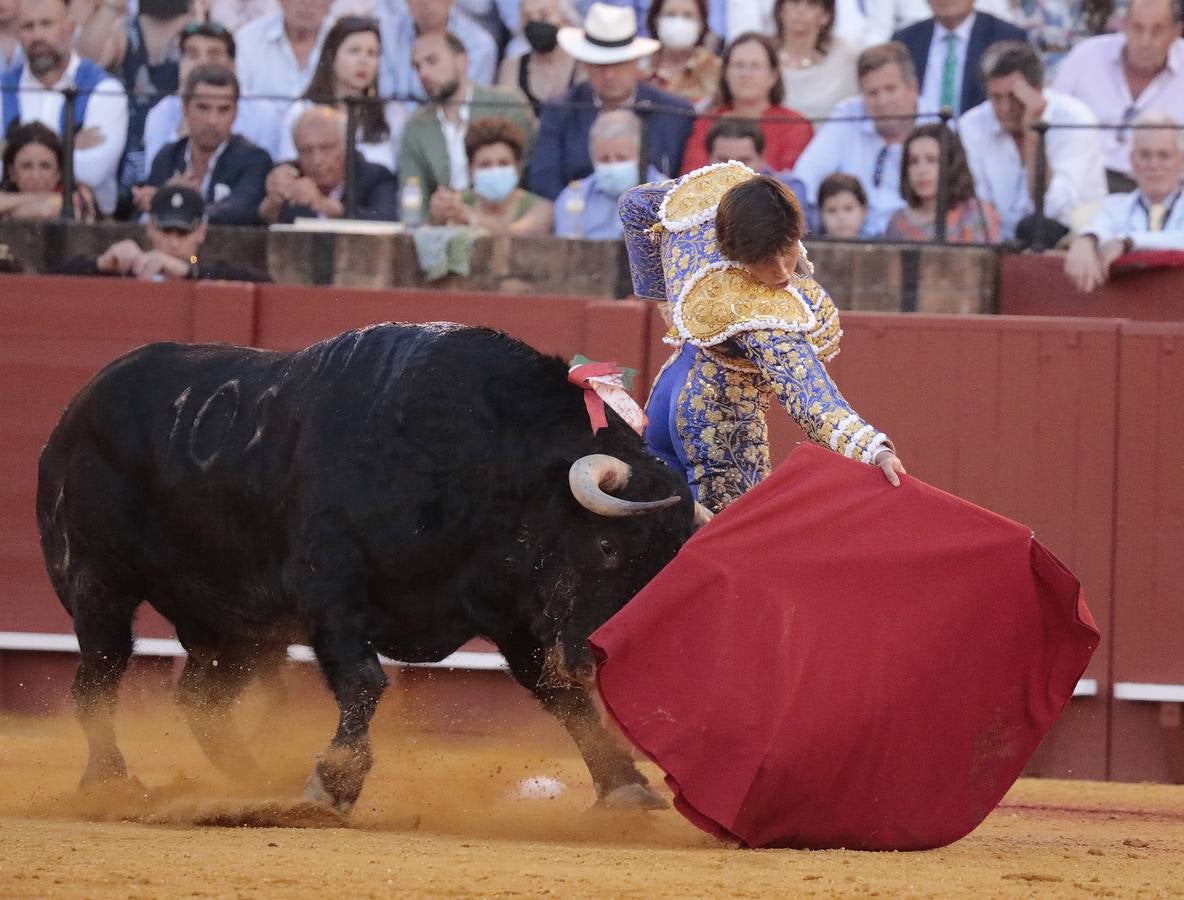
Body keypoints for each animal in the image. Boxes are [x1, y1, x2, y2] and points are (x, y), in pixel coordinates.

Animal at [39, 324, 691, 814]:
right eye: (607, 548)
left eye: (664, 570)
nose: (595, 660)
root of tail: (77, 408)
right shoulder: (332, 591)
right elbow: (365, 682)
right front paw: (333, 786)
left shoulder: (513, 610)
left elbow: (558, 696)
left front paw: (624, 787)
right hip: (98, 584)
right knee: (97, 679)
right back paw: (110, 784)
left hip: (234, 626)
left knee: (202, 700)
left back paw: (254, 783)